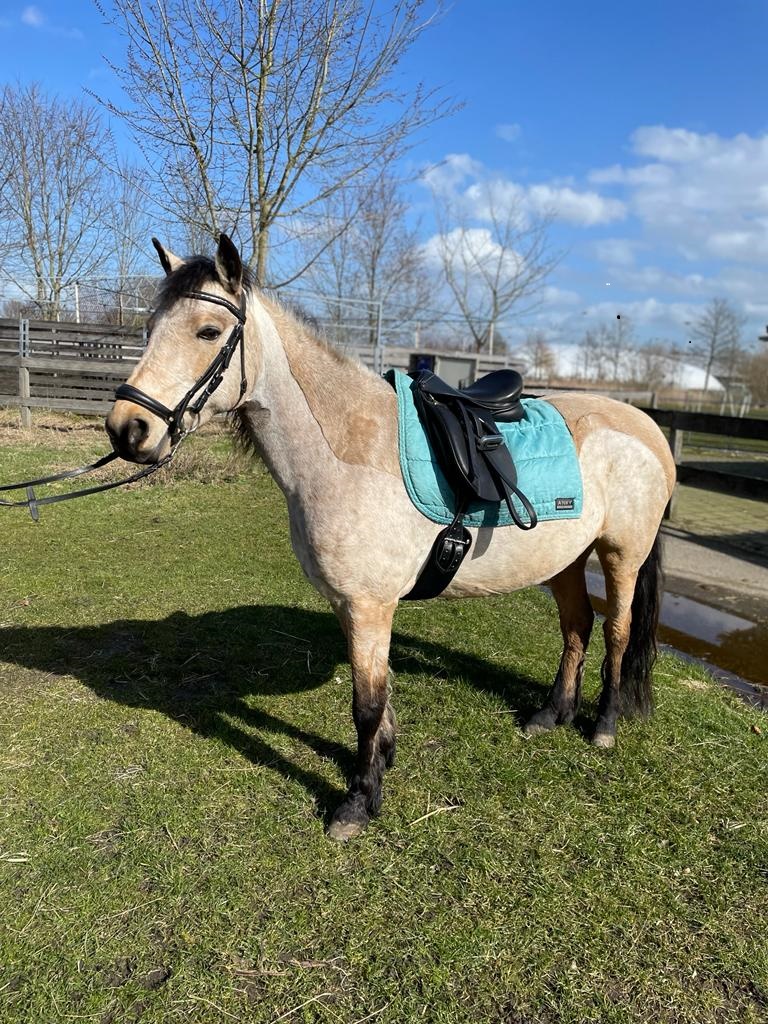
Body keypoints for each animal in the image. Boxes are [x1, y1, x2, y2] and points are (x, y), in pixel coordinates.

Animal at [105, 234, 676, 841]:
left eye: (208, 332)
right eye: (150, 327)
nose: (127, 430)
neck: (347, 451)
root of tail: (646, 426)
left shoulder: (369, 605)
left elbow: (366, 704)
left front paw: (358, 801)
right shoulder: (350, 605)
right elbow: (380, 696)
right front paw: (381, 762)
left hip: (621, 556)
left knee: (616, 632)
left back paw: (604, 724)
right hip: (565, 560)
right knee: (577, 627)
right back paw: (552, 714)